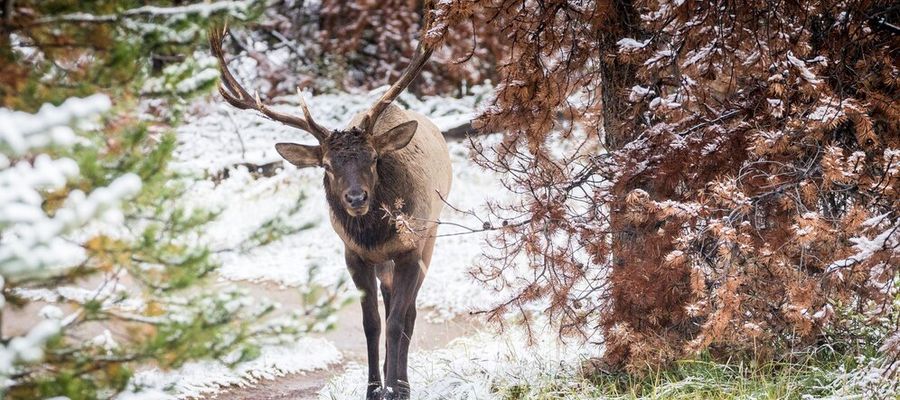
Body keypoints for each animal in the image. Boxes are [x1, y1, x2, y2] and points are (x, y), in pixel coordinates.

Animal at [209, 25, 450, 400]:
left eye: (373, 158)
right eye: (326, 164)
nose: (356, 197)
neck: (376, 236)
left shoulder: (412, 248)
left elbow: (398, 321)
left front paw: (396, 389)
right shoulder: (353, 254)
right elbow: (371, 323)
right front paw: (373, 389)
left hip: (432, 236)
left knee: (408, 312)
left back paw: (401, 380)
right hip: (386, 262)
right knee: (389, 302)